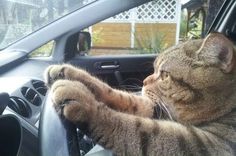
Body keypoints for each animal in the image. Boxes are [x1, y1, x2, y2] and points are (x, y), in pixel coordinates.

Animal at [45, 32, 236, 155]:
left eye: (165, 75)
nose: (144, 81)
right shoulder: (155, 109)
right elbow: (119, 96)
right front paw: (66, 72)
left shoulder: (199, 144)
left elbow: (132, 127)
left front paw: (84, 102)